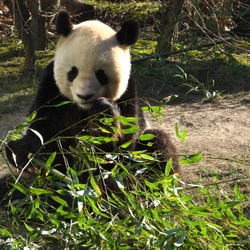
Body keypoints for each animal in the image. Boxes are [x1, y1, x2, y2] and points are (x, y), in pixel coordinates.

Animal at [1, 10, 180, 202]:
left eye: (101, 75)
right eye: (73, 72)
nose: (84, 96)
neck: (84, 109)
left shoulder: (128, 93)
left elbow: (119, 149)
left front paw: (104, 112)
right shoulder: (51, 89)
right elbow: (46, 133)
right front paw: (22, 153)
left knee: (157, 146)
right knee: (10, 187)